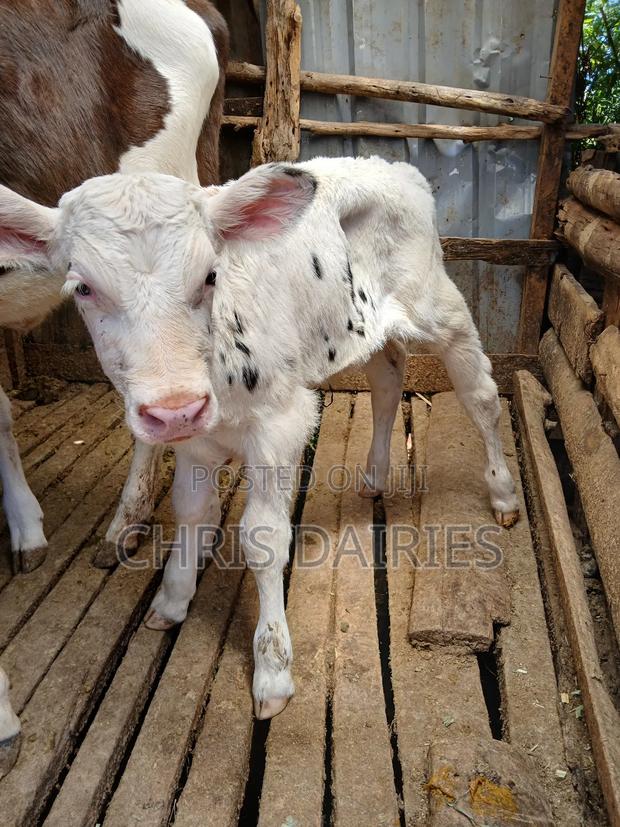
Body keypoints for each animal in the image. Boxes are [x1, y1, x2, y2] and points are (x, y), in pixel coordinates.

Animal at [0, 155, 520, 720]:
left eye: (211, 275)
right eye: (82, 288)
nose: (174, 408)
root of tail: (391, 165)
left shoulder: (281, 422)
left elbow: (263, 538)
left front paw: (272, 668)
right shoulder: (192, 437)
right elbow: (190, 511)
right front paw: (173, 598)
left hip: (440, 306)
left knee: (480, 394)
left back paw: (502, 492)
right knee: (387, 379)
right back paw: (375, 475)